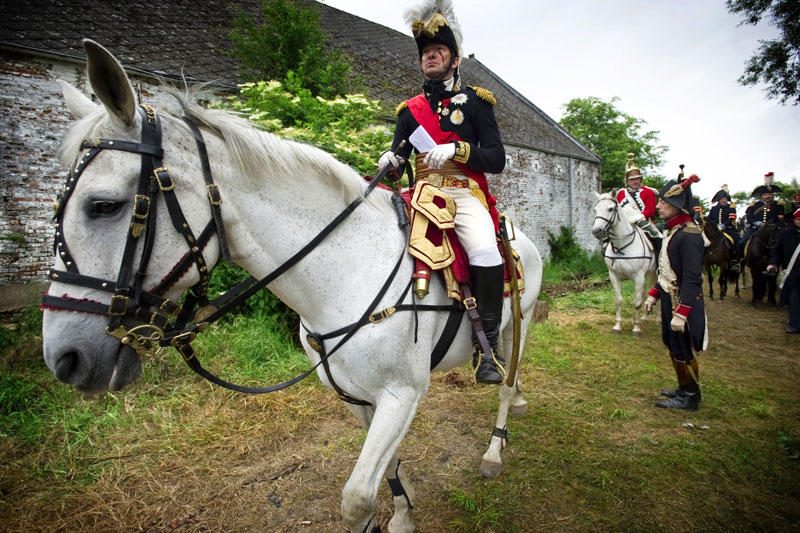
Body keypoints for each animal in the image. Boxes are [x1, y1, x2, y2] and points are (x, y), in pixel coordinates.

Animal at [39, 41, 544, 532]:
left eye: (104, 205)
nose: (65, 359)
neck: (345, 273)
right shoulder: (357, 397)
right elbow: (387, 471)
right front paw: (402, 512)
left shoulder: (401, 395)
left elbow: (356, 500)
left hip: (517, 324)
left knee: (506, 382)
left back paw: (494, 448)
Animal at [592, 190, 652, 332]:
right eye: (595, 209)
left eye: (610, 209)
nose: (596, 231)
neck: (622, 246)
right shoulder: (614, 276)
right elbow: (618, 300)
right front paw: (617, 326)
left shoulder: (638, 277)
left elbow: (637, 302)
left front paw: (636, 328)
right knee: (644, 294)